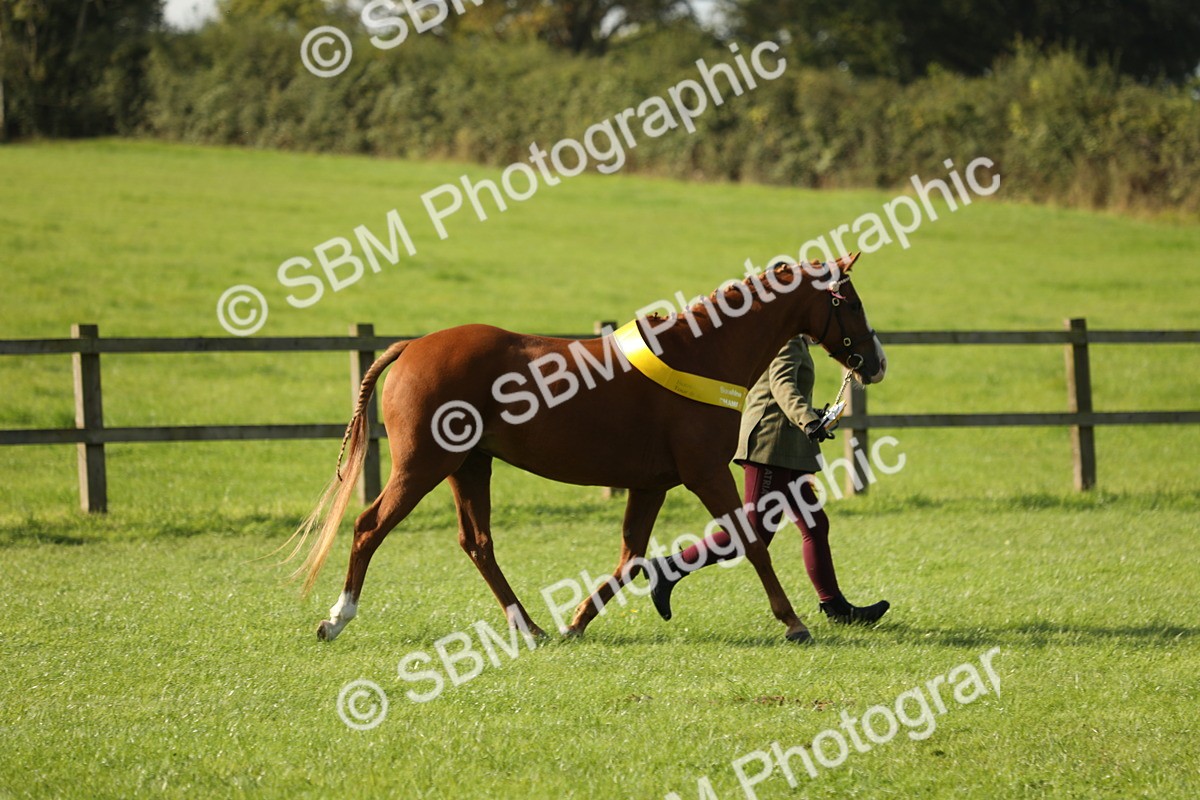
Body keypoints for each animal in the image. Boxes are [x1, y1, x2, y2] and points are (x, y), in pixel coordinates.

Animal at [285, 253, 886, 644]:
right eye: (851, 301)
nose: (876, 362)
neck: (703, 353)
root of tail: (413, 346)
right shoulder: (705, 473)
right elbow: (752, 543)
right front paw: (794, 622)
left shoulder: (652, 483)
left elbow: (631, 557)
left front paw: (577, 621)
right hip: (423, 465)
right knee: (369, 526)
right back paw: (337, 618)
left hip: (469, 465)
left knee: (477, 543)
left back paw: (530, 627)